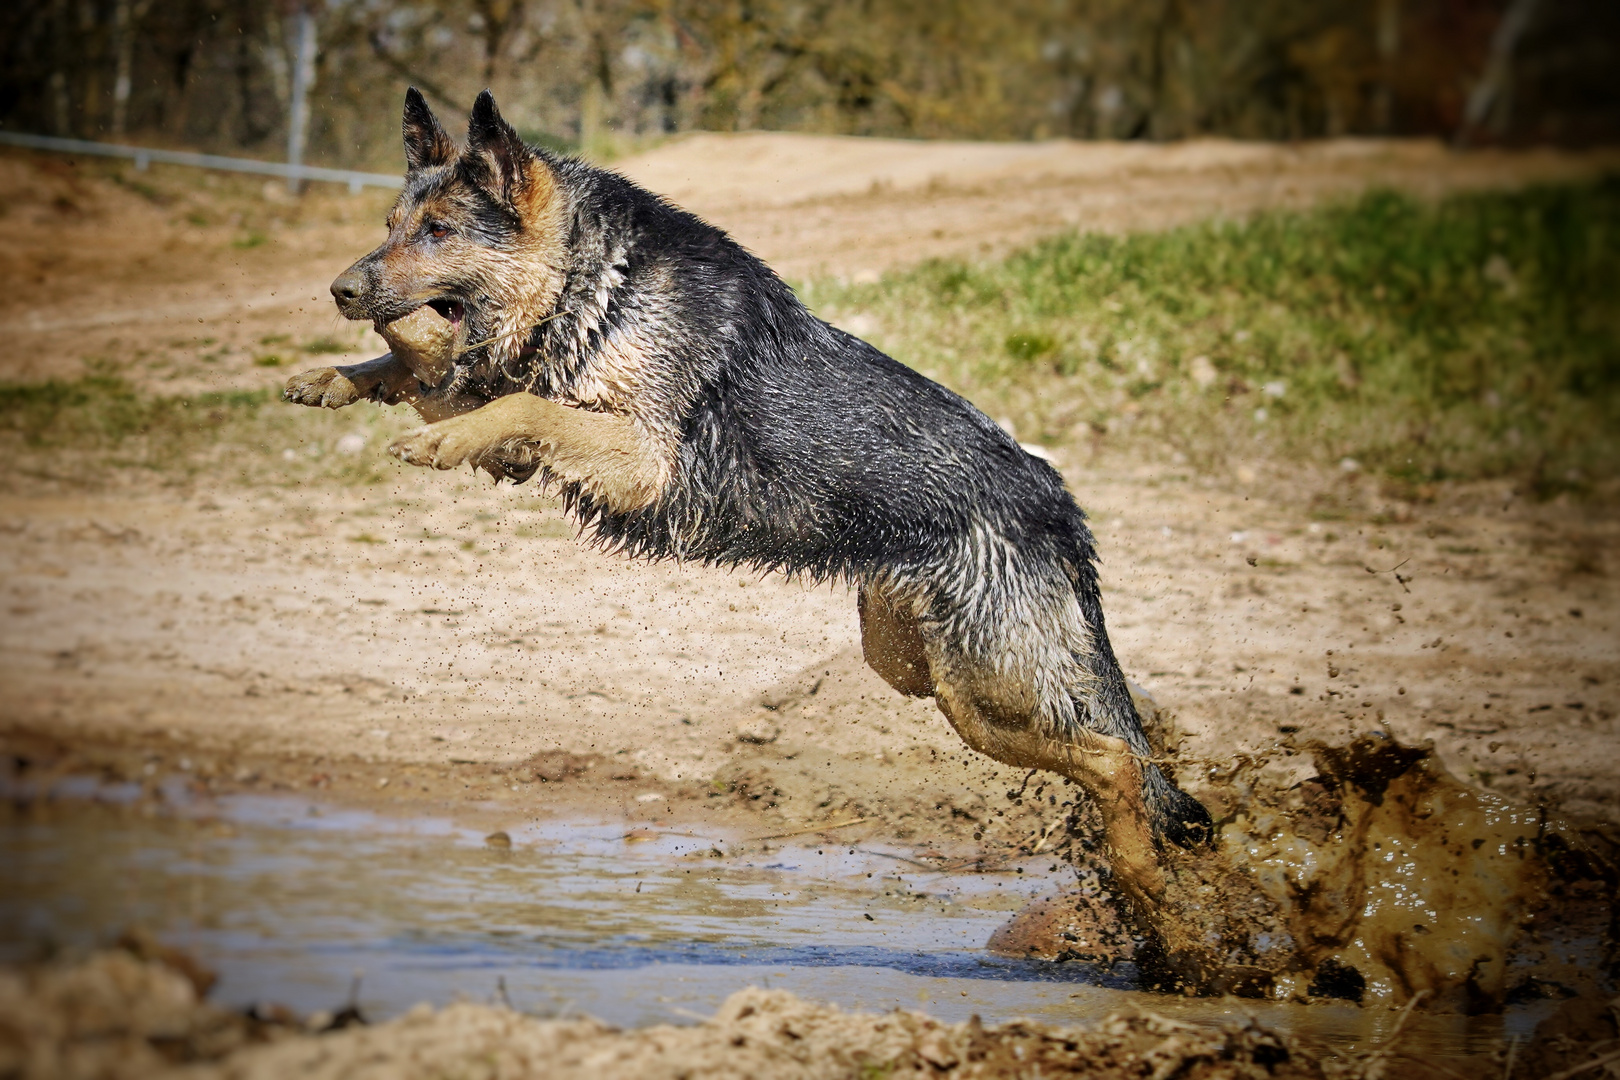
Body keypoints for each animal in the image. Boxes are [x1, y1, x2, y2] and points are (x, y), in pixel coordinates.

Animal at [288, 86, 1205, 893]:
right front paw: (338, 377)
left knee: (1118, 758)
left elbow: (513, 402)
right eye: (390, 228)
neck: (595, 282)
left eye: (439, 231)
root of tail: (1059, 501)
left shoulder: (643, 459)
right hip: (928, 676)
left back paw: (1144, 880)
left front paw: (433, 436)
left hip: (989, 683)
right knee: (1101, 748)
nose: (339, 290)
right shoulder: (528, 428)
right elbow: (436, 374)